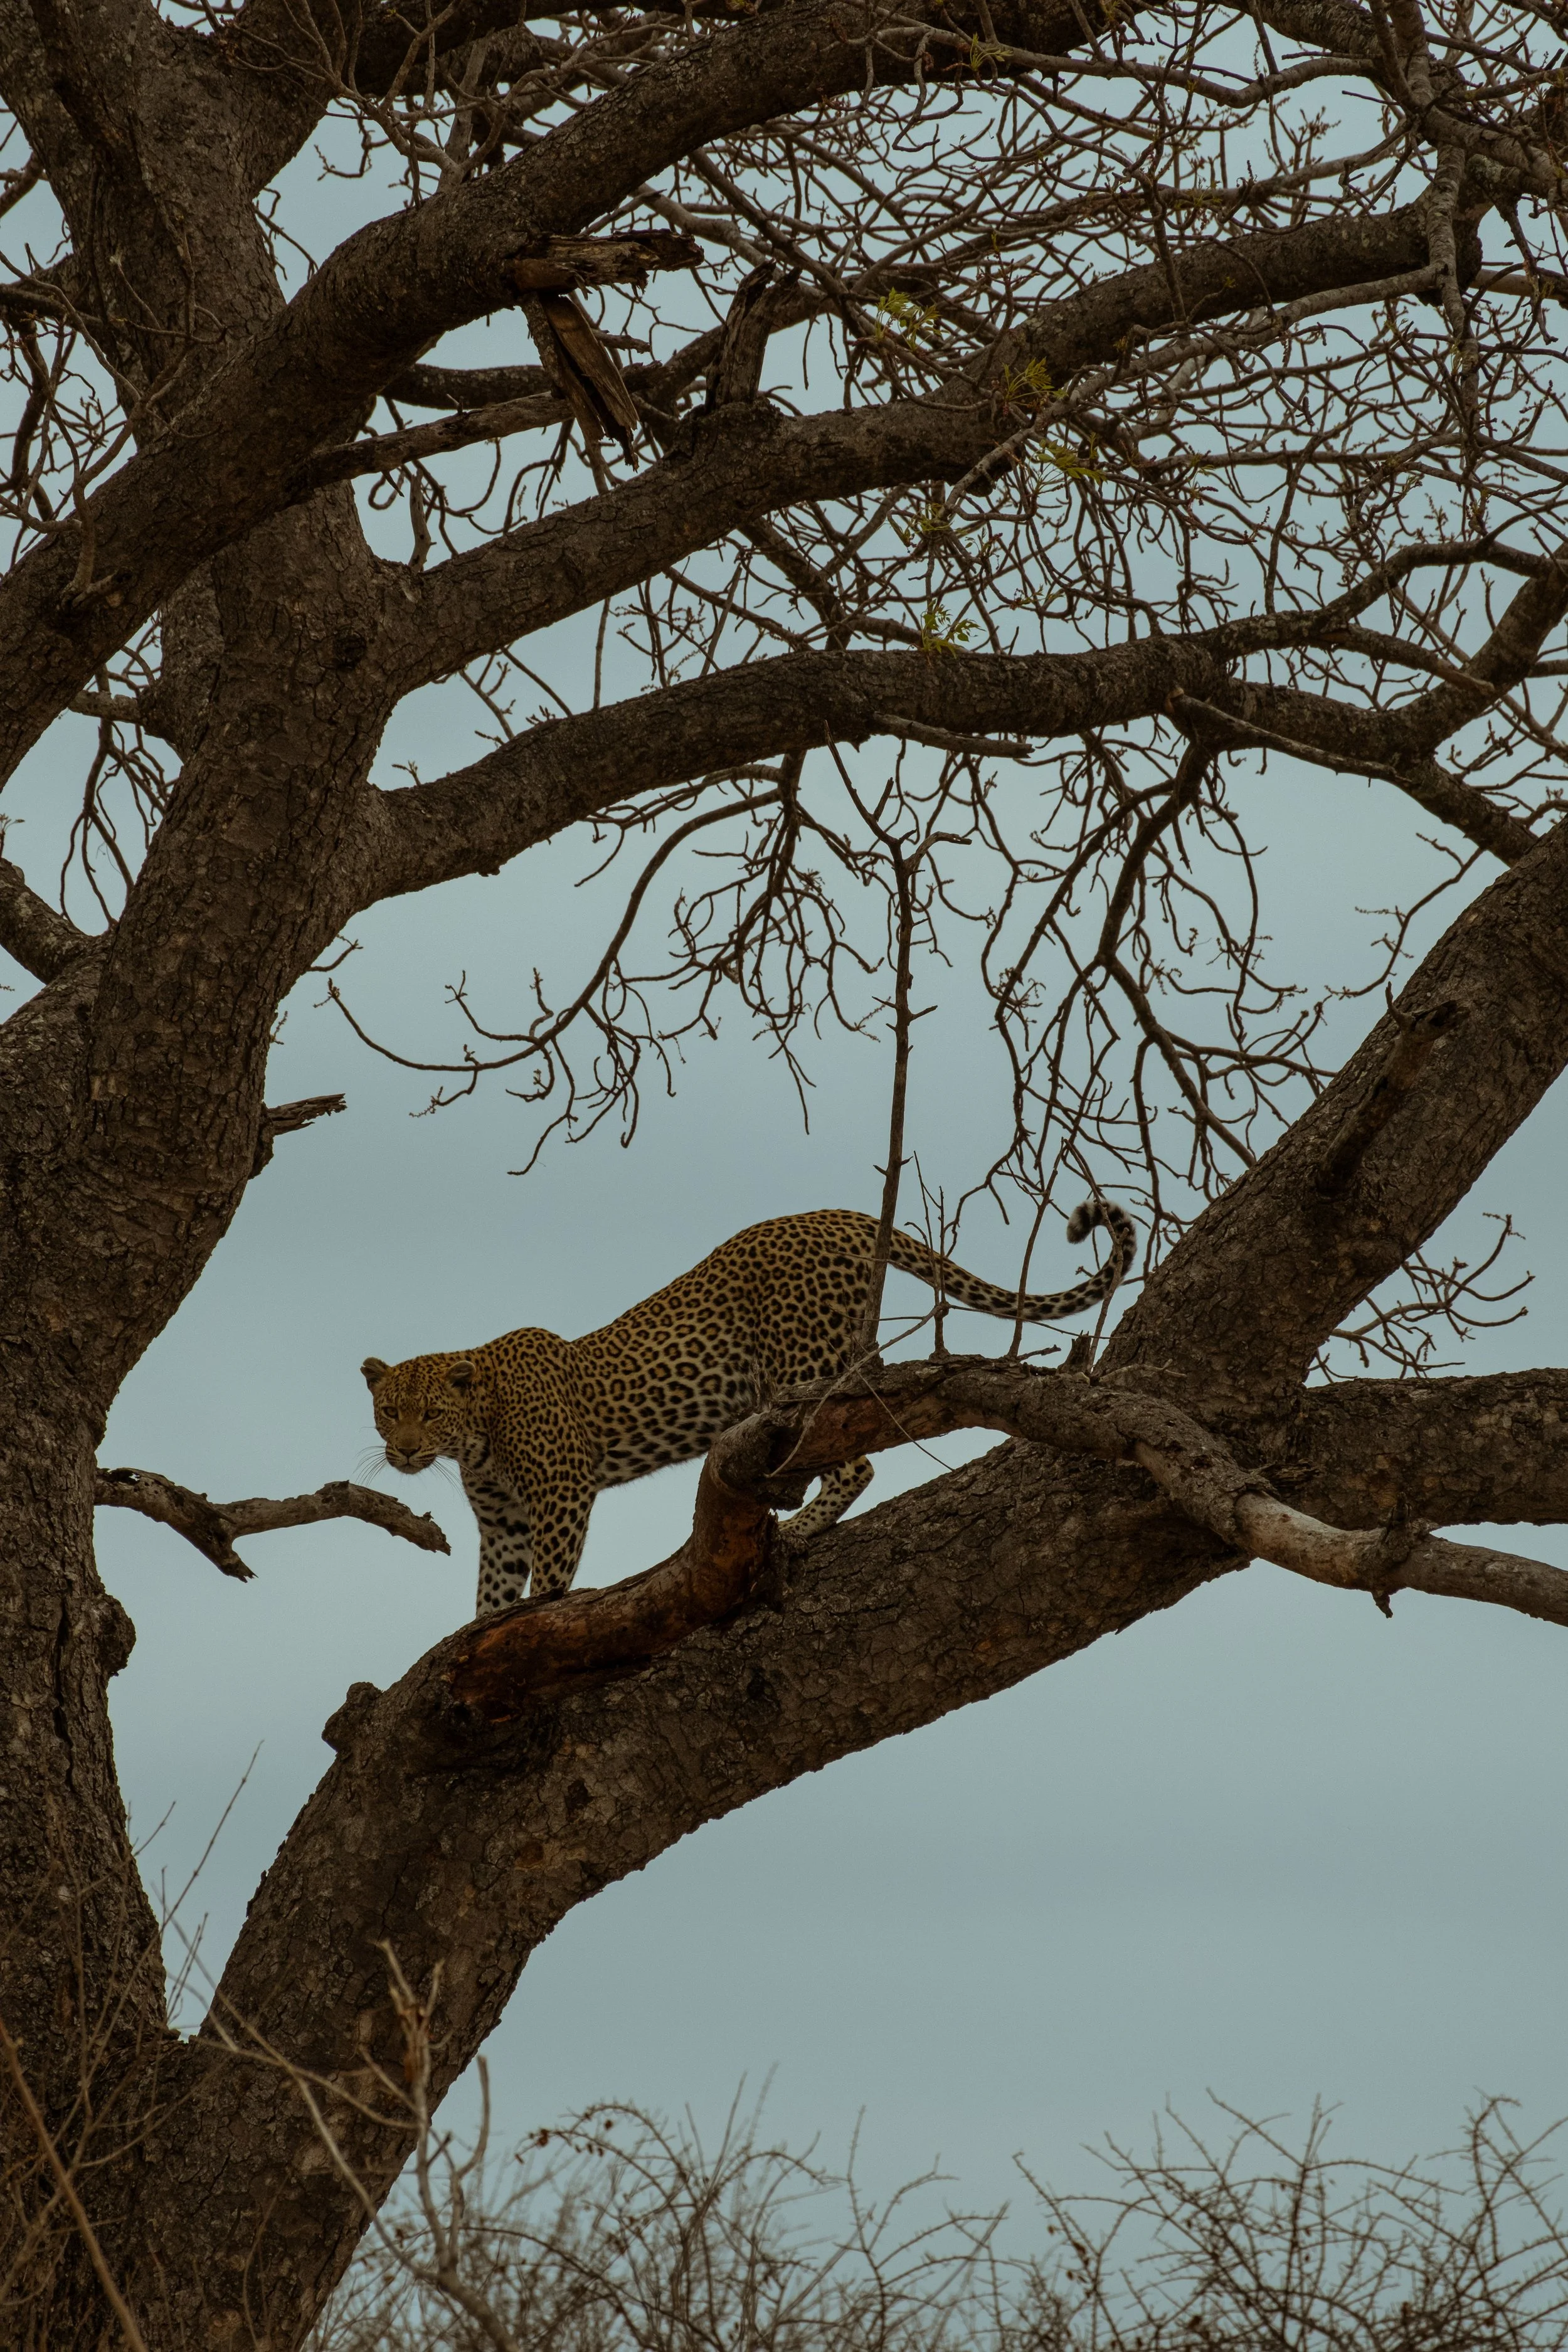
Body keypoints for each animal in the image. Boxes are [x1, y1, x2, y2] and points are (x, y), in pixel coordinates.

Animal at [361, 1199, 1135, 1619]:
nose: (404, 1451)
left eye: (429, 1413)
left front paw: (536, 1619)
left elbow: (549, 1581)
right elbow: (490, 1595)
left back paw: (796, 1531)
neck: (476, 1433)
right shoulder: (504, 1522)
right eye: (389, 1411)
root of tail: (842, 1215)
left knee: (853, 1466)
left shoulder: (561, 1492)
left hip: (803, 1367)